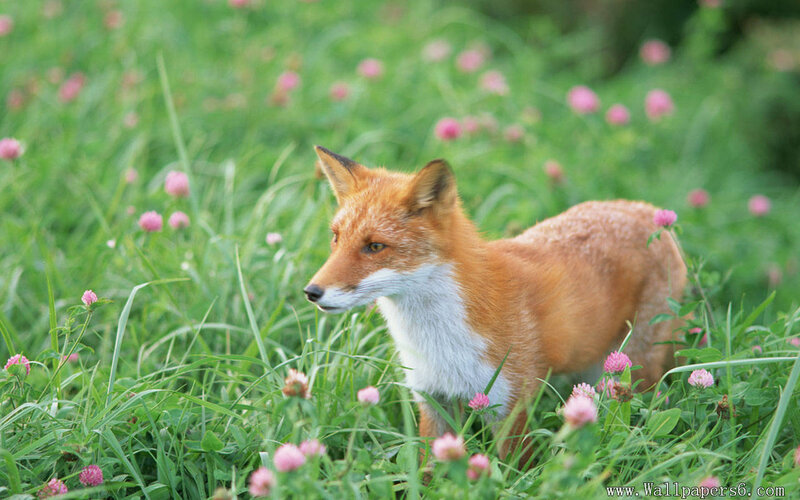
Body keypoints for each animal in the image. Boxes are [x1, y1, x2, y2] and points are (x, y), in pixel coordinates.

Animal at [305, 145, 687, 464]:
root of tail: (648, 210)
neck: (440, 341)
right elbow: (427, 473)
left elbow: (513, 472)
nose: (312, 291)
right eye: (336, 238)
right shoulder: (433, 400)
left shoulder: (510, 405)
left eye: (374, 247)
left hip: (633, 372)